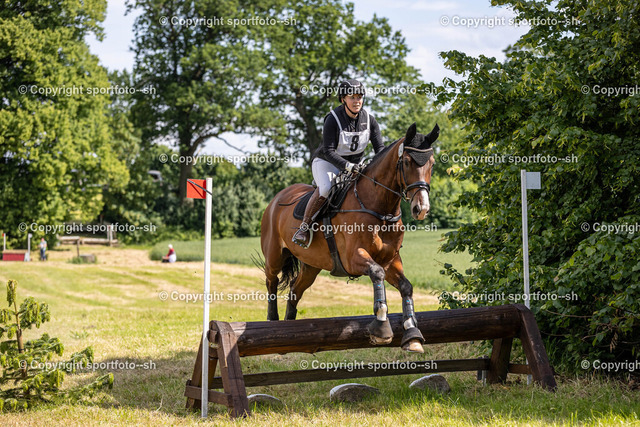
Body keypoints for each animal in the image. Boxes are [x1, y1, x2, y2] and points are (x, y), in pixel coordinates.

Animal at [260, 123, 439, 352]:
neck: (381, 209)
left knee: (295, 289)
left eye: (431, 164)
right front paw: (381, 328)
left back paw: (288, 327)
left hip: (311, 266)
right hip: (274, 255)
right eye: (407, 162)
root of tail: (276, 199)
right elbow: (377, 273)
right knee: (271, 281)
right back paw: (271, 321)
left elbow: (406, 286)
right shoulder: (353, 258)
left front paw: (413, 335)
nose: (421, 209)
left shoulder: (390, 259)